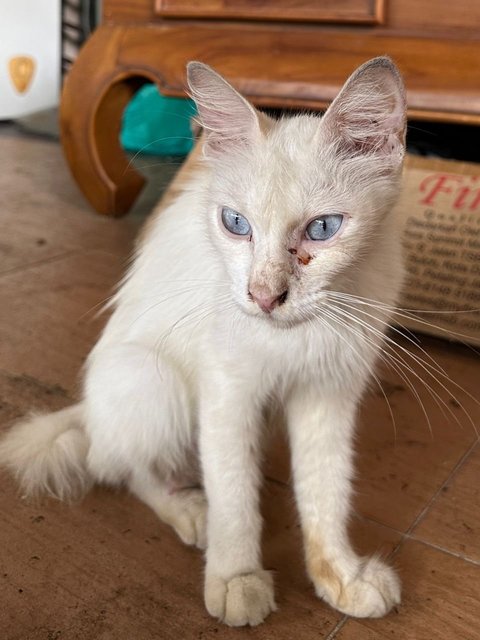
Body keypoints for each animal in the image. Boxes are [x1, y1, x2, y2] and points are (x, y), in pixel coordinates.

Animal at [0, 57, 404, 628]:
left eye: (323, 229)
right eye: (235, 224)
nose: (263, 296)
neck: (299, 336)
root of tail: (88, 409)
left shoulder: (328, 396)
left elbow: (326, 492)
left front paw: (341, 579)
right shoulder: (226, 393)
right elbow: (234, 494)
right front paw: (236, 580)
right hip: (155, 380)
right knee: (122, 467)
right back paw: (193, 513)